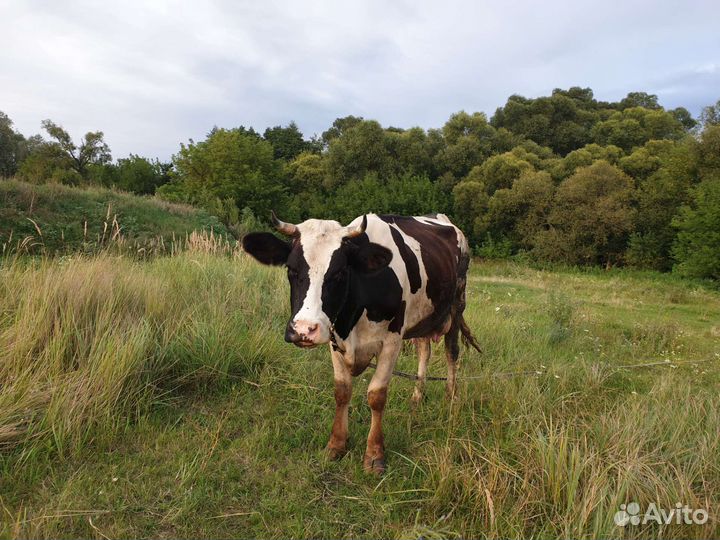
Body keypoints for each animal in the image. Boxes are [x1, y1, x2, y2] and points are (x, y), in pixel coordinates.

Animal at [242, 212, 481, 474]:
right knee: (424, 350)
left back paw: (451, 398)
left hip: (457, 304)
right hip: (424, 318)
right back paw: (417, 397)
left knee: (452, 352)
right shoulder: (335, 338)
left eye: (339, 273)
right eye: (291, 269)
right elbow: (342, 391)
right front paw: (336, 445)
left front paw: (374, 454)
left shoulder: (392, 342)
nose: (304, 329)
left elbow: (376, 396)